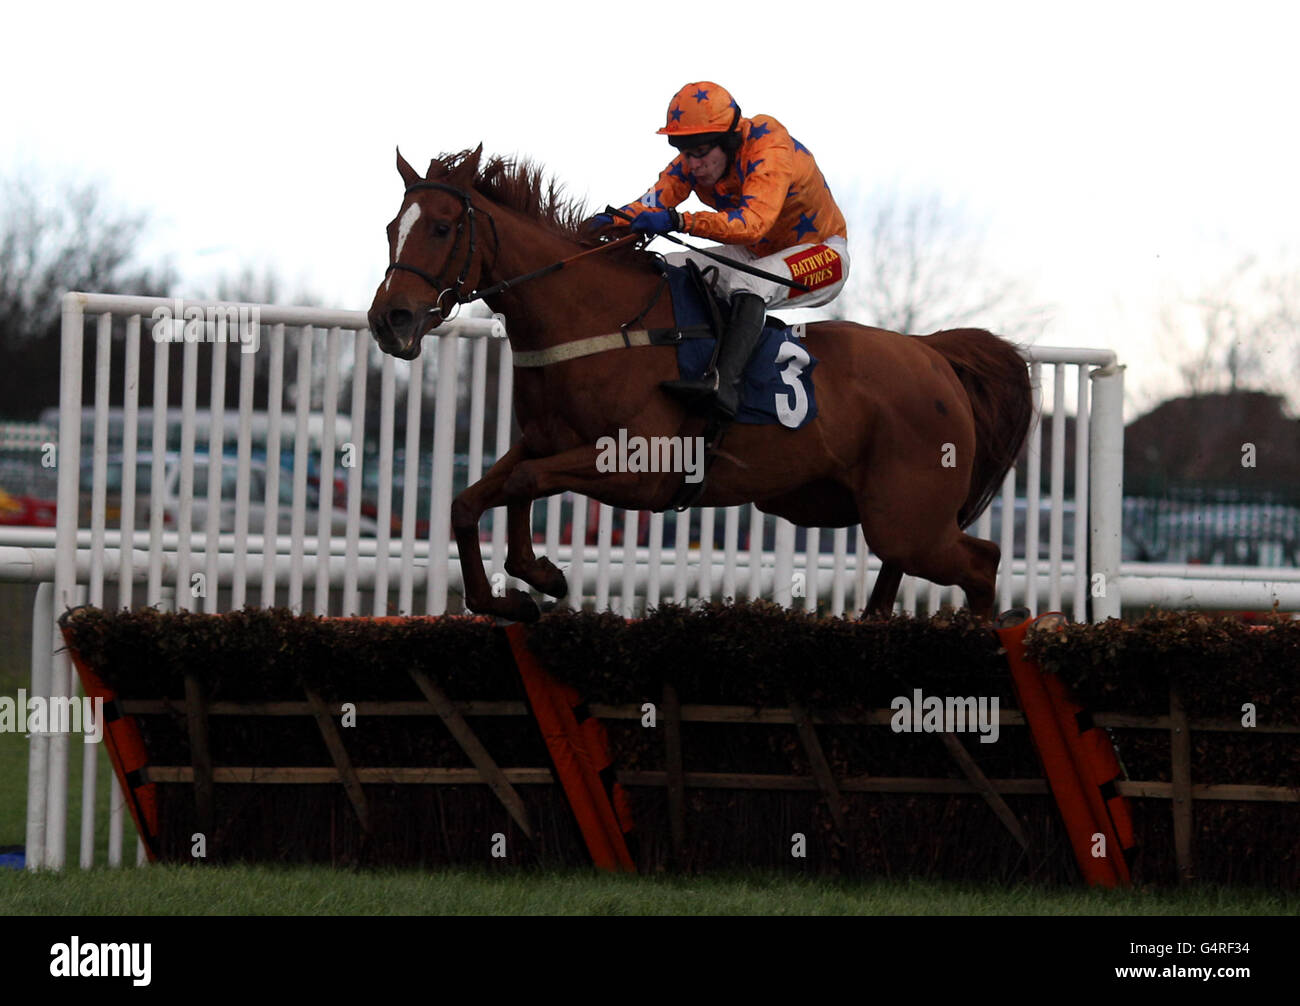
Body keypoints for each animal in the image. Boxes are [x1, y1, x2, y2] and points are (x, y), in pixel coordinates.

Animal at [369, 147, 1034, 621]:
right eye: (391, 227)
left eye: (442, 228)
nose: (389, 319)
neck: (599, 322)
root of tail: (933, 355)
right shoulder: (544, 441)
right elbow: (472, 500)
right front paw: (508, 595)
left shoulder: (640, 468)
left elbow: (524, 483)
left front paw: (538, 576)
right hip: (866, 510)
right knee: (919, 570)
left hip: (908, 517)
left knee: (984, 564)